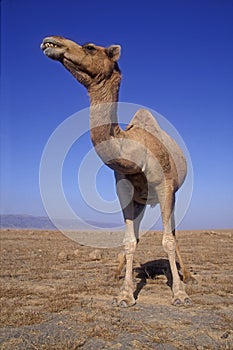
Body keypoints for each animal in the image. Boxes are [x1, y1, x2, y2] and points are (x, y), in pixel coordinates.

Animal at [40, 35, 195, 308]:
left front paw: (179, 294)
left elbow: (168, 239)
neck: (134, 148)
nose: (52, 41)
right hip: (141, 201)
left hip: (171, 195)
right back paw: (118, 273)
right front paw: (124, 294)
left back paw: (186, 275)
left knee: (173, 233)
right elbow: (129, 240)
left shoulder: (165, 186)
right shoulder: (124, 189)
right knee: (138, 234)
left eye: (90, 47)